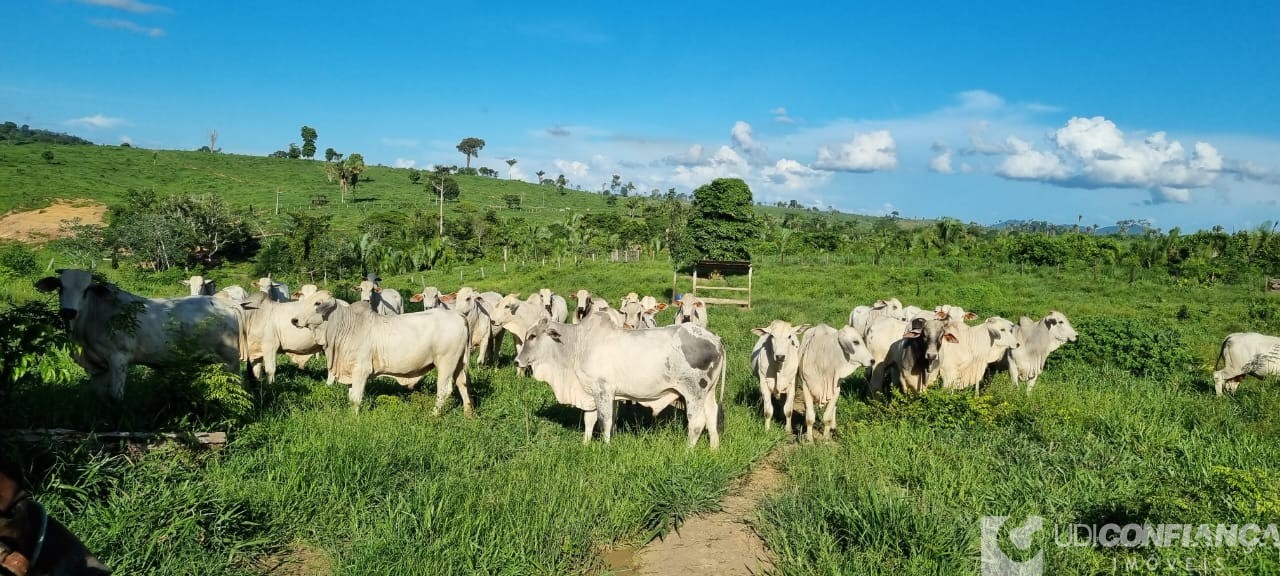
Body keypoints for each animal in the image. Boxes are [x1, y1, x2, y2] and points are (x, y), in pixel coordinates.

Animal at [33, 270, 247, 399]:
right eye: (60, 287)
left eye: (86, 289)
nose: (68, 312)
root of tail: (227, 304)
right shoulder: (96, 368)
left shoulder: (119, 359)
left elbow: (115, 396)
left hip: (230, 361)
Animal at [290, 293, 471, 414]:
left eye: (317, 303)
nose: (294, 320)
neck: (344, 326)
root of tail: (458, 315)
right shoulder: (350, 372)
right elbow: (351, 397)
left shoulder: (361, 371)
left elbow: (356, 398)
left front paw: (354, 418)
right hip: (458, 364)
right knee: (463, 384)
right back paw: (468, 413)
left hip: (446, 362)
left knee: (444, 390)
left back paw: (434, 415)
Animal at [514, 317, 727, 448]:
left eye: (532, 336)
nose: (517, 361)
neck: (577, 344)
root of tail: (716, 340)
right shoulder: (596, 393)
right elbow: (591, 420)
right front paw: (586, 443)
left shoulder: (603, 390)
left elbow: (605, 421)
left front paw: (606, 445)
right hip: (708, 392)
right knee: (712, 416)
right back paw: (714, 448)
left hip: (694, 392)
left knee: (697, 422)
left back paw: (688, 450)